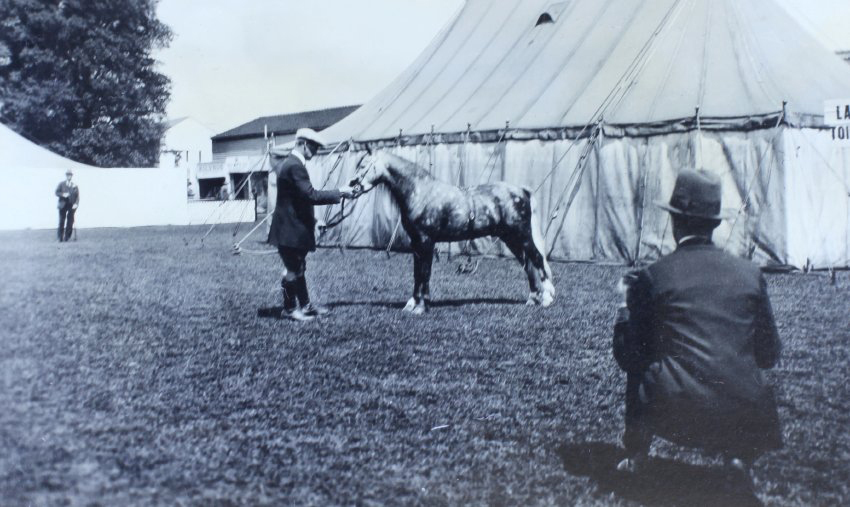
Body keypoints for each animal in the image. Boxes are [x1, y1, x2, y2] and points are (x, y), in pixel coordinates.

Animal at [349, 150, 555, 314]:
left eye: (364, 166)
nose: (352, 184)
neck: (421, 192)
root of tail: (522, 191)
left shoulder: (426, 241)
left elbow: (425, 273)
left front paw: (421, 307)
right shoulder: (416, 243)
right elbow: (417, 274)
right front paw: (412, 304)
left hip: (522, 235)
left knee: (537, 259)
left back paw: (547, 298)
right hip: (511, 238)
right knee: (528, 264)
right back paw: (533, 299)